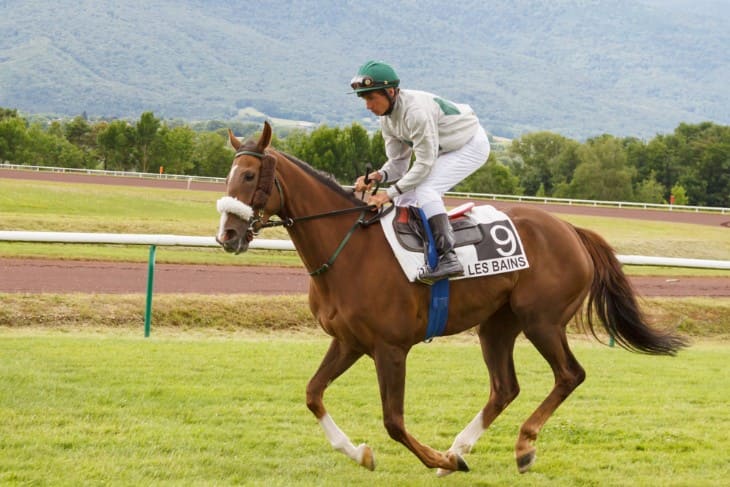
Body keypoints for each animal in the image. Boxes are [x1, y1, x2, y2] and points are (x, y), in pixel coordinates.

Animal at [213, 122, 684, 476]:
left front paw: (435, 458)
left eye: (250, 176)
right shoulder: (348, 341)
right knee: (505, 388)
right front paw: (363, 453)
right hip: (497, 325)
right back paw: (460, 448)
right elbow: (313, 394)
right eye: (229, 176)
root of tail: (571, 229)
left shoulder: (390, 348)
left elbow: (394, 422)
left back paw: (520, 446)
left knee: (570, 375)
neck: (348, 250)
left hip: (542, 321)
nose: (227, 235)